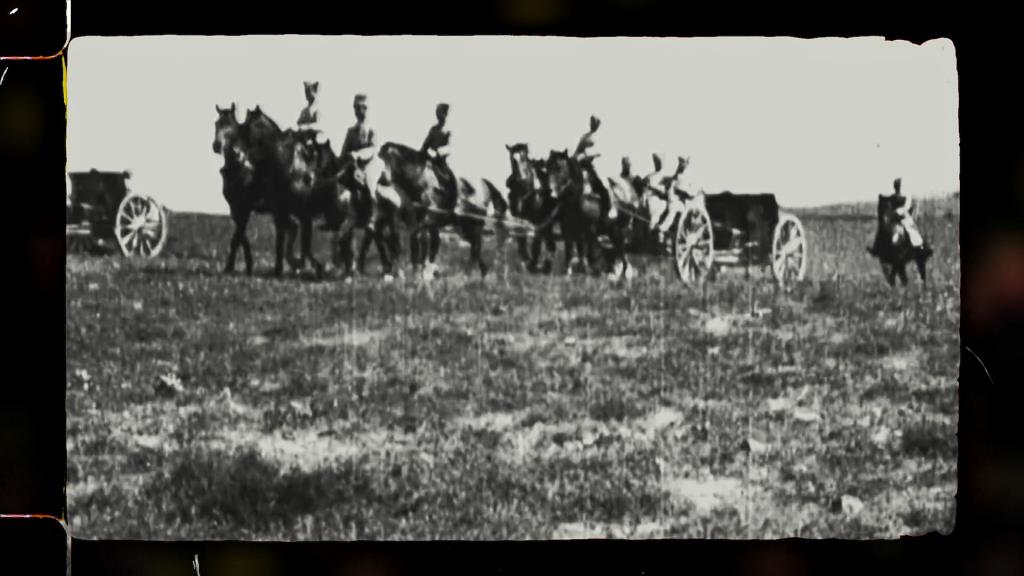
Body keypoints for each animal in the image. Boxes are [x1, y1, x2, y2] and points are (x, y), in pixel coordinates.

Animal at [376, 142, 507, 278]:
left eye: (384, 159)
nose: (381, 181)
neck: (420, 181)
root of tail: (484, 182)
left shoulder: (428, 221)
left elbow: (426, 242)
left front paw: (424, 271)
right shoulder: (414, 222)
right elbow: (417, 242)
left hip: (474, 225)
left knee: (476, 247)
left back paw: (468, 273)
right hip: (463, 227)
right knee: (475, 247)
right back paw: (482, 272)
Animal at [505, 141, 561, 270]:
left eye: (524, 157)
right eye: (513, 159)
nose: (521, 179)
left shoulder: (536, 219)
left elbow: (534, 243)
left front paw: (531, 263)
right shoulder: (519, 217)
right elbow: (522, 240)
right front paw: (527, 260)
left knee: (546, 244)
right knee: (549, 244)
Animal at [544, 148, 630, 276]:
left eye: (558, 167)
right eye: (547, 166)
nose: (548, 189)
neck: (578, 199)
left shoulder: (590, 231)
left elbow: (589, 254)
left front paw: (588, 269)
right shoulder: (569, 230)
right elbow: (571, 251)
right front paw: (569, 271)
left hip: (617, 231)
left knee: (621, 252)